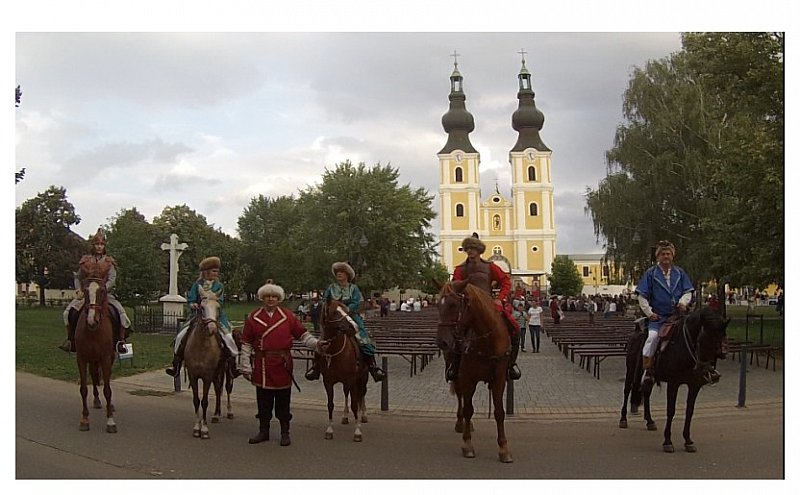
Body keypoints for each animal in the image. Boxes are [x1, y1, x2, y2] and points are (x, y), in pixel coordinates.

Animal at [74, 280, 117, 434]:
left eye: (102, 291)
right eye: (86, 291)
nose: (92, 320)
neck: (93, 332)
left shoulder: (105, 358)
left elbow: (108, 390)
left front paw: (110, 421)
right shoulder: (81, 358)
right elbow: (83, 389)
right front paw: (84, 419)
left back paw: (110, 406)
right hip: (92, 359)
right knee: (93, 375)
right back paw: (97, 400)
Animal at [182, 284, 227, 440]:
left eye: (218, 307)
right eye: (201, 307)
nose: (212, 329)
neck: (201, 346)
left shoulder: (207, 376)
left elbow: (205, 401)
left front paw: (205, 429)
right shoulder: (193, 375)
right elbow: (196, 400)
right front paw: (197, 427)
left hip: (219, 371)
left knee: (218, 389)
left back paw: (217, 414)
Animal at [318, 298, 370, 442]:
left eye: (347, 310)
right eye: (335, 312)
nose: (353, 327)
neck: (334, 352)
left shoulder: (351, 379)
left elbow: (354, 404)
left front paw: (357, 432)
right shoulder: (328, 382)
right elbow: (330, 404)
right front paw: (329, 430)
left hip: (362, 378)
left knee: (361, 394)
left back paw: (363, 415)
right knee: (347, 394)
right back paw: (345, 416)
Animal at [438, 280, 512, 464]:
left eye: (454, 304)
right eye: (437, 305)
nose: (442, 341)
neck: (486, 340)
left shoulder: (499, 379)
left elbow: (499, 412)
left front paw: (504, 448)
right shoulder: (468, 378)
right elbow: (468, 409)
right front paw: (467, 445)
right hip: (457, 374)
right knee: (460, 398)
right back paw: (461, 423)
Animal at [620, 308, 732, 456]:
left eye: (719, 341)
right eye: (700, 340)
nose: (702, 370)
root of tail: (637, 331)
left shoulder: (694, 385)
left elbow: (689, 411)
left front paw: (688, 441)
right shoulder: (673, 383)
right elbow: (671, 411)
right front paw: (667, 441)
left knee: (646, 393)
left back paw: (649, 421)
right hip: (631, 370)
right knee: (627, 390)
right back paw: (623, 419)